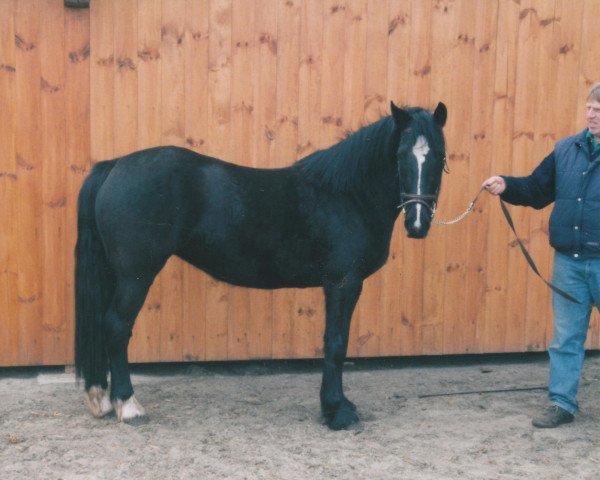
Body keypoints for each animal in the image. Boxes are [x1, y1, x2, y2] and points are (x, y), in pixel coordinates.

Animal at [75, 100, 448, 428]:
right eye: (400, 156)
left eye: (440, 156)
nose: (417, 223)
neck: (347, 196)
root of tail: (115, 165)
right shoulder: (343, 283)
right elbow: (336, 343)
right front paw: (336, 412)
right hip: (135, 275)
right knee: (116, 327)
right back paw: (129, 406)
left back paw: (102, 400)